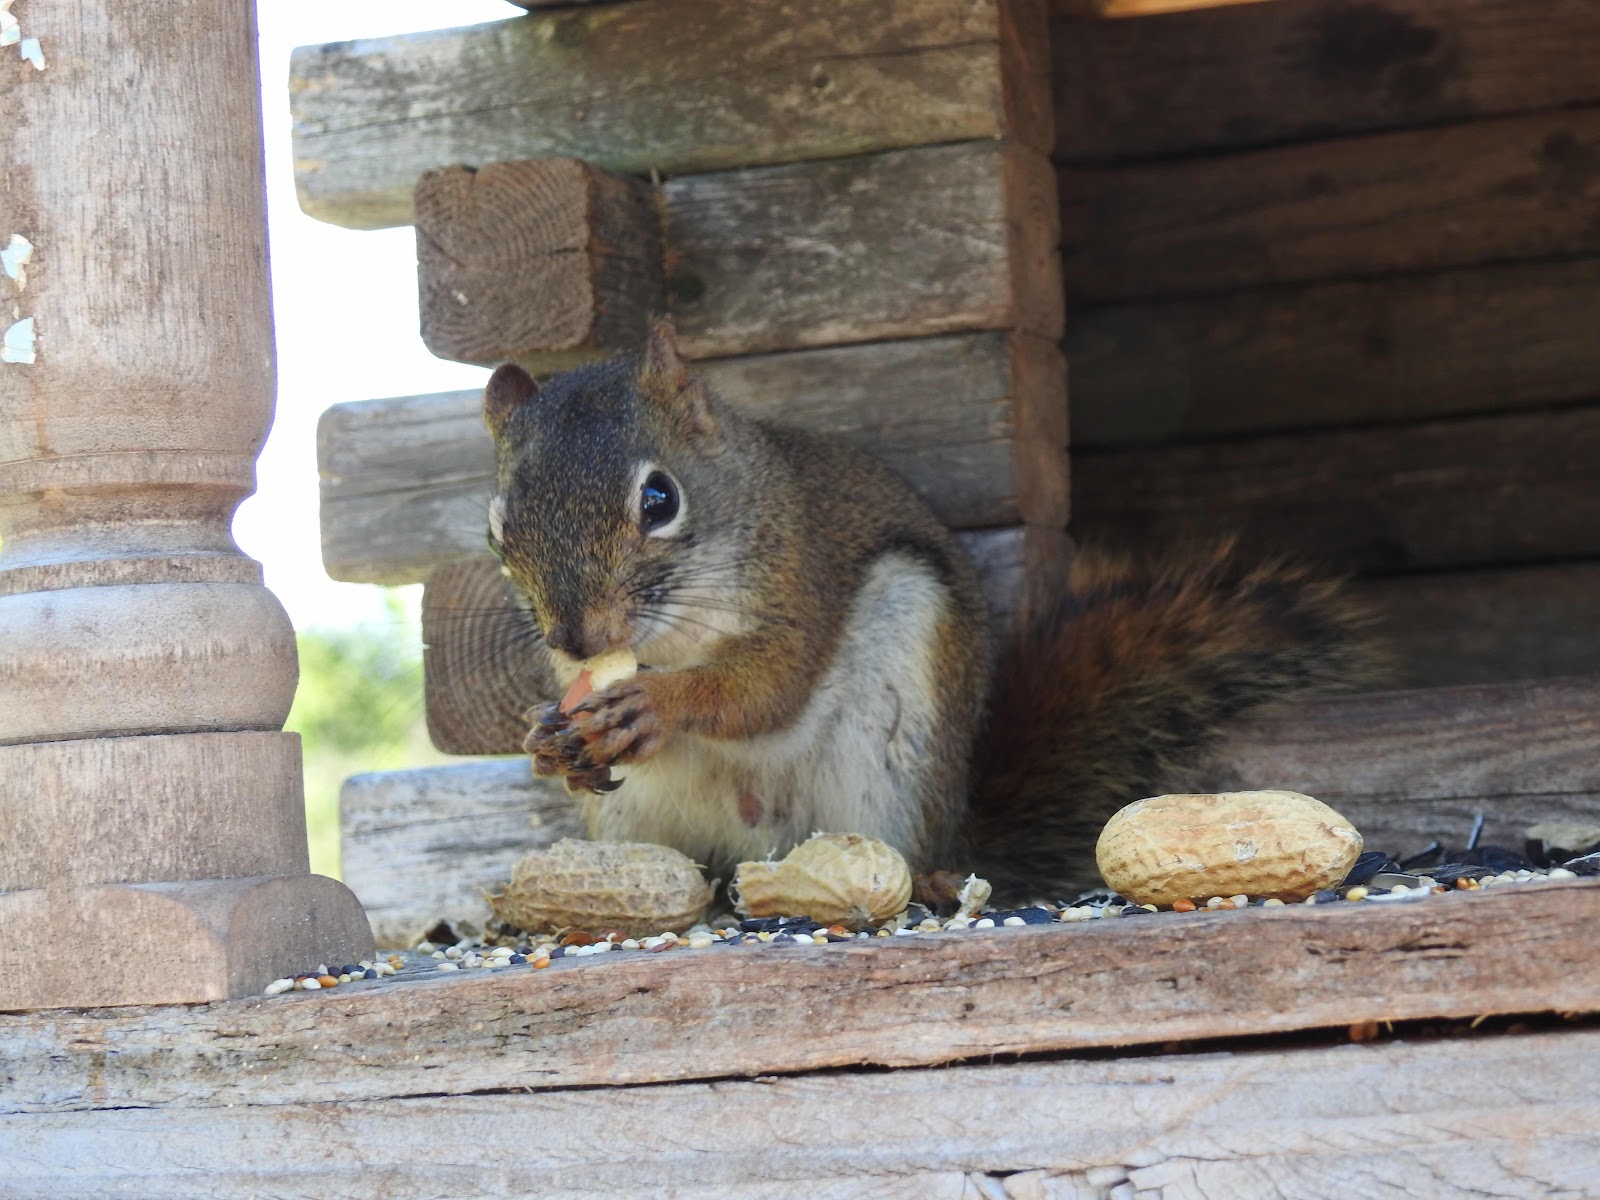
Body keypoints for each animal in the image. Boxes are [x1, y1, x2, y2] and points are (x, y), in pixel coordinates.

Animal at [481, 319, 1379, 902]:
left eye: (660, 498)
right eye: (495, 528)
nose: (578, 637)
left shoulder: (802, 575)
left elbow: (769, 690)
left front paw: (654, 706)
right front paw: (542, 735)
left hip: (897, 730)